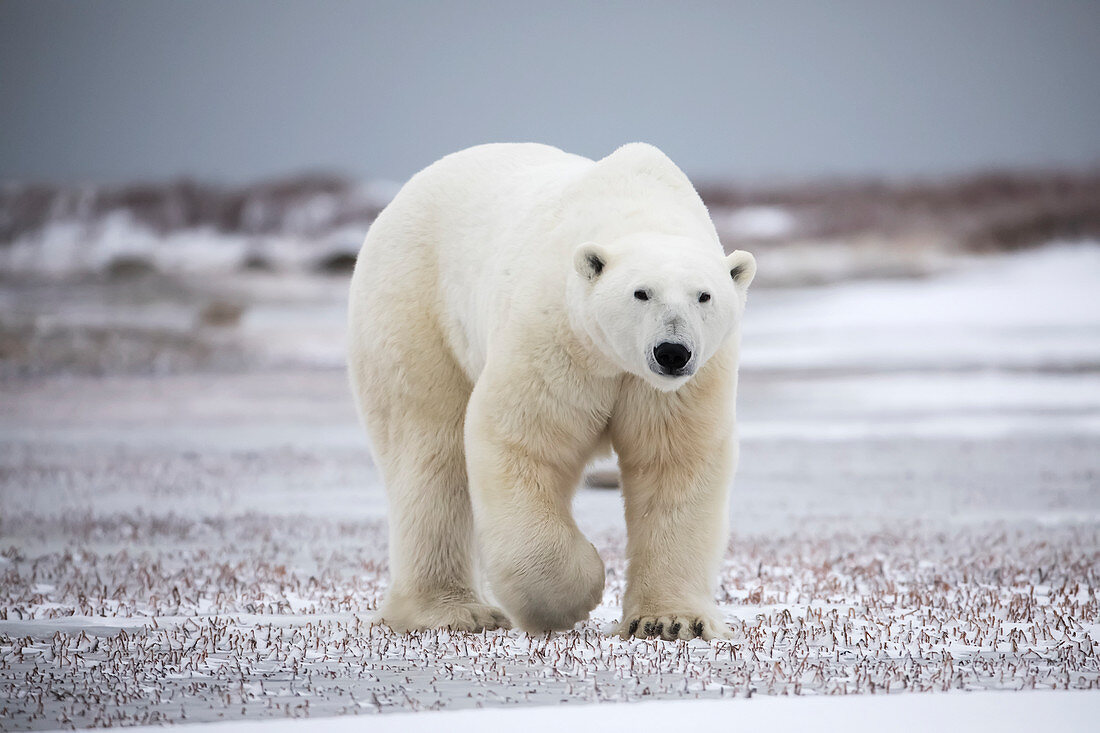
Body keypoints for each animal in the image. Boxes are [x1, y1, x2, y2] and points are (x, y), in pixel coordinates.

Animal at [347, 139, 752, 638]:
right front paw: (575, 594)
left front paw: (670, 621)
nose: (672, 352)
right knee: (428, 450)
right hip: (414, 308)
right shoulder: (556, 338)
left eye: (704, 296)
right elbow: (523, 441)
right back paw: (456, 612)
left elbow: (675, 462)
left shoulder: (679, 386)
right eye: (641, 293)